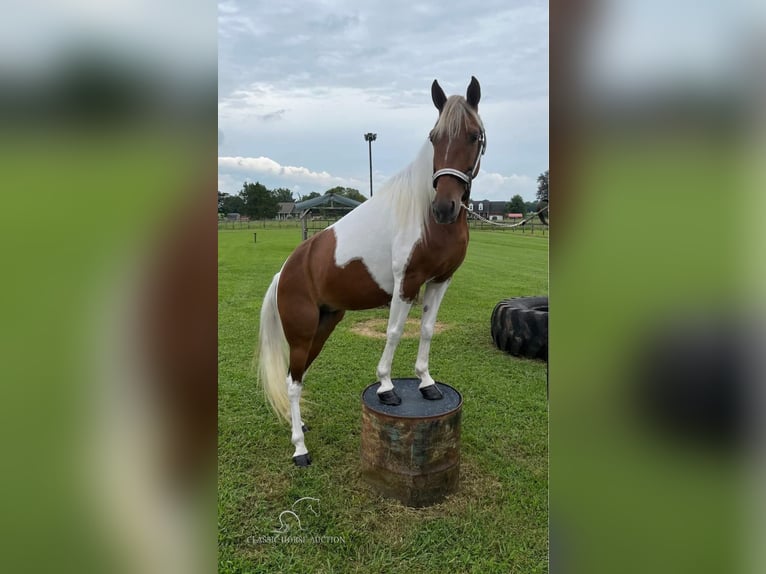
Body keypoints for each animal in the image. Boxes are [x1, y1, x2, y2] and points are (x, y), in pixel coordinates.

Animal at [258, 76, 486, 468]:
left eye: (473, 136)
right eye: (434, 137)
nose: (445, 207)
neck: (425, 217)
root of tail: (285, 272)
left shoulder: (441, 281)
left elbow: (426, 329)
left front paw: (427, 384)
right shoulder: (407, 283)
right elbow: (394, 332)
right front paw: (386, 388)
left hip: (324, 325)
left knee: (297, 377)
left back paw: (298, 428)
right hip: (301, 333)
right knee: (292, 382)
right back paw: (300, 448)